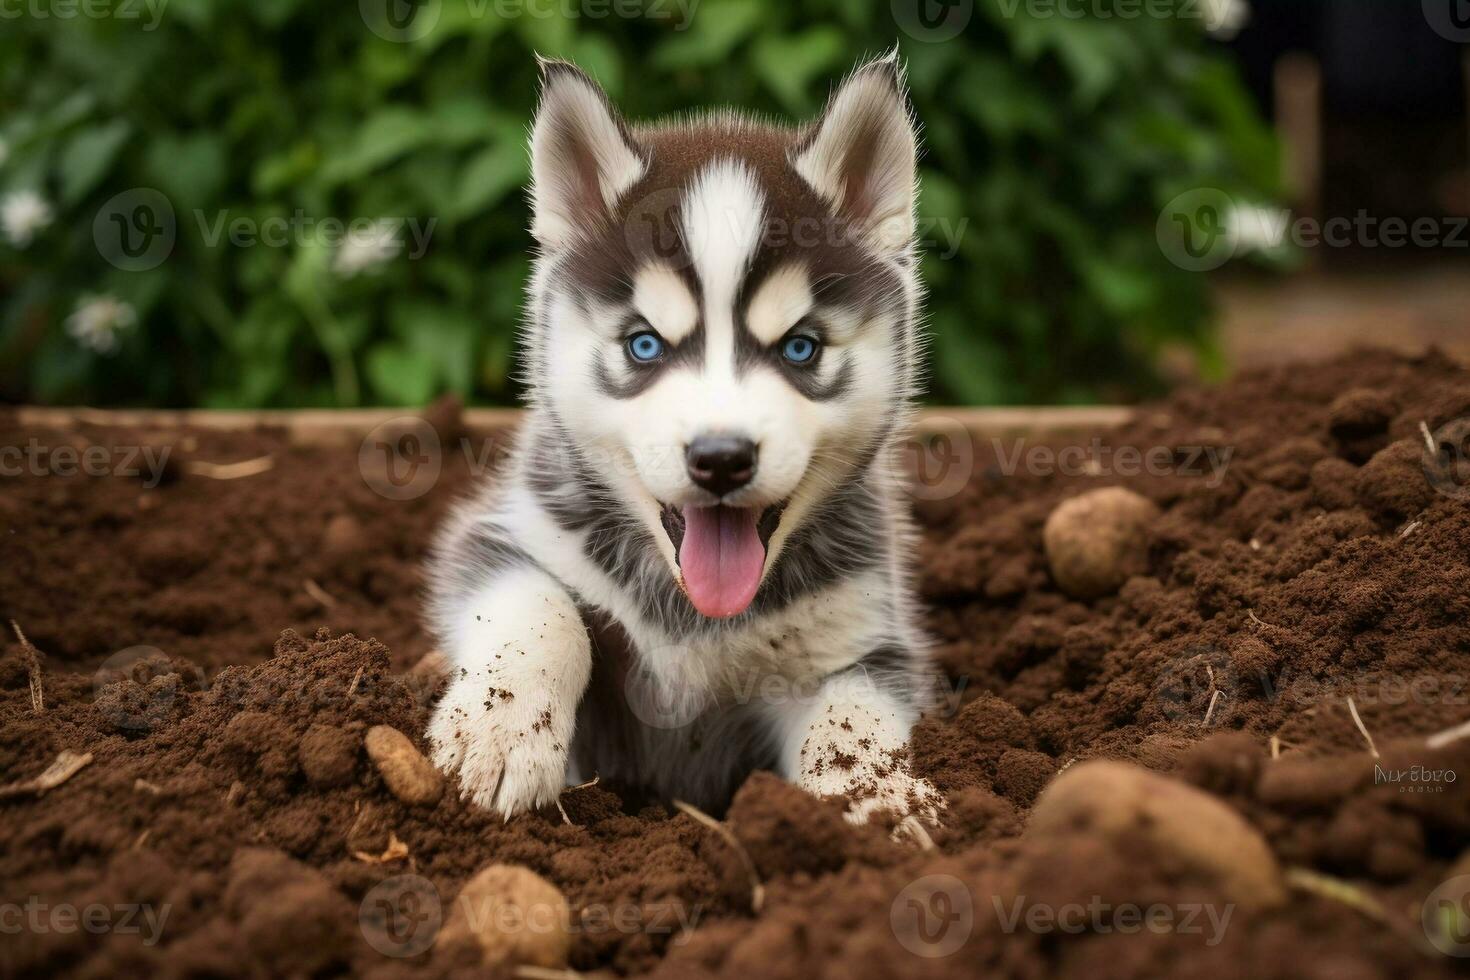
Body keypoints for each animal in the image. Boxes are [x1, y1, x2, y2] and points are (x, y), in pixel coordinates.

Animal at [426, 51, 940, 822]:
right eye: (644, 345)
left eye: (800, 349)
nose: (720, 459)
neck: (693, 615)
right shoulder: (510, 536)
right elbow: (543, 611)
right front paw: (500, 730)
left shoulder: (861, 637)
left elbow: (854, 718)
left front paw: (879, 803)